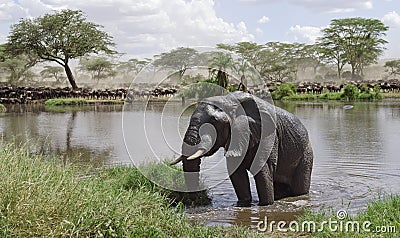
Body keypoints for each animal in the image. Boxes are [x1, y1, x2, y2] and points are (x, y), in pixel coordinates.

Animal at [170, 91, 314, 206]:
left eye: (213, 123)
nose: (193, 201)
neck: (229, 100)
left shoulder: (268, 134)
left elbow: (262, 169)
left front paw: (266, 205)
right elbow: (236, 173)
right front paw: (243, 204)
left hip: (306, 155)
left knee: (300, 187)